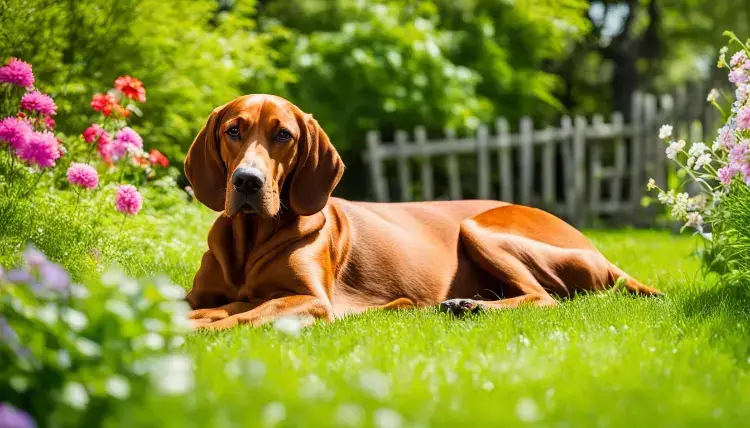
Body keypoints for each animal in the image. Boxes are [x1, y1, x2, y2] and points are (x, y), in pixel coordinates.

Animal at [185, 94, 660, 328]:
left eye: (283, 134)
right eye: (234, 130)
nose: (247, 181)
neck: (250, 239)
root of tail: (599, 251)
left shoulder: (311, 300)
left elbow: (245, 314)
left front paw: (196, 329)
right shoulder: (201, 293)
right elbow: (214, 305)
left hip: (478, 228)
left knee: (544, 298)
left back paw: (470, 307)